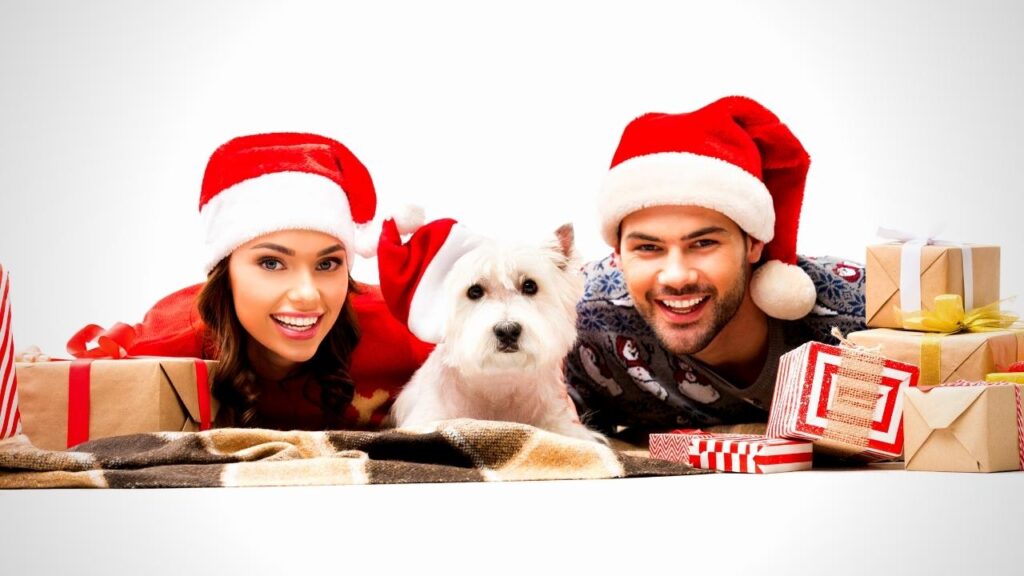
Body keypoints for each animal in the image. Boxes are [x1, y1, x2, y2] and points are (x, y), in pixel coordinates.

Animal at [387, 222, 602, 440]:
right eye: (474, 291)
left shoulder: (560, 419)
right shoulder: (429, 416)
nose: (507, 330)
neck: (498, 381)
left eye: (530, 286)